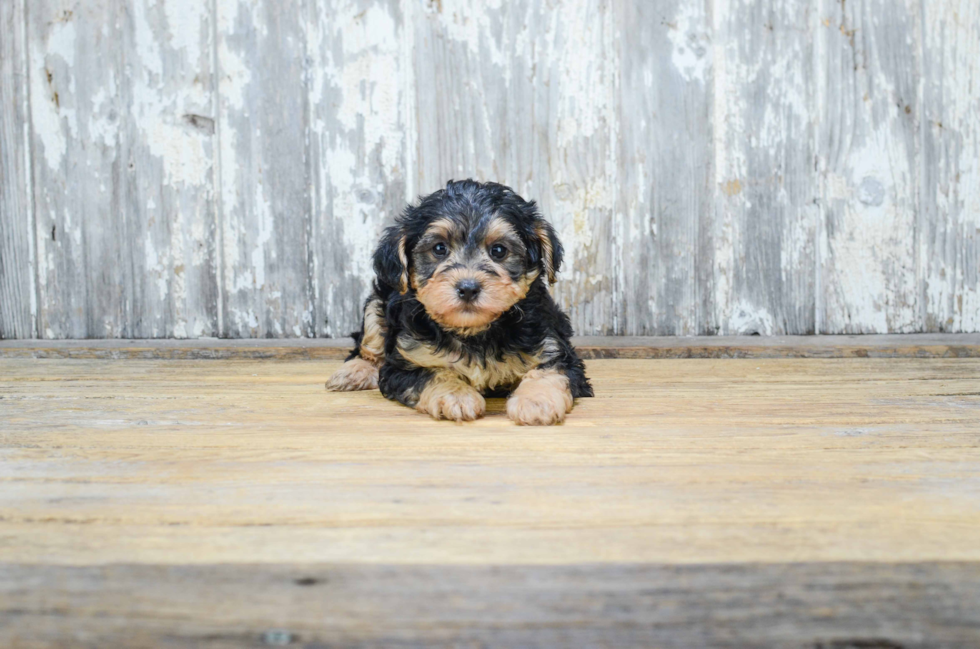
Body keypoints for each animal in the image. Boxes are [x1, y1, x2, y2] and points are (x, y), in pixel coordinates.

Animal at [326, 178, 592, 426]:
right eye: (439, 248)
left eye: (499, 251)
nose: (468, 288)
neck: (473, 331)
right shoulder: (404, 363)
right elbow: (432, 374)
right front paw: (456, 396)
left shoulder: (553, 349)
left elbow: (550, 371)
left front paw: (536, 401)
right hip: (378, 301)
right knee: (368, 344)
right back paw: (353, 372)